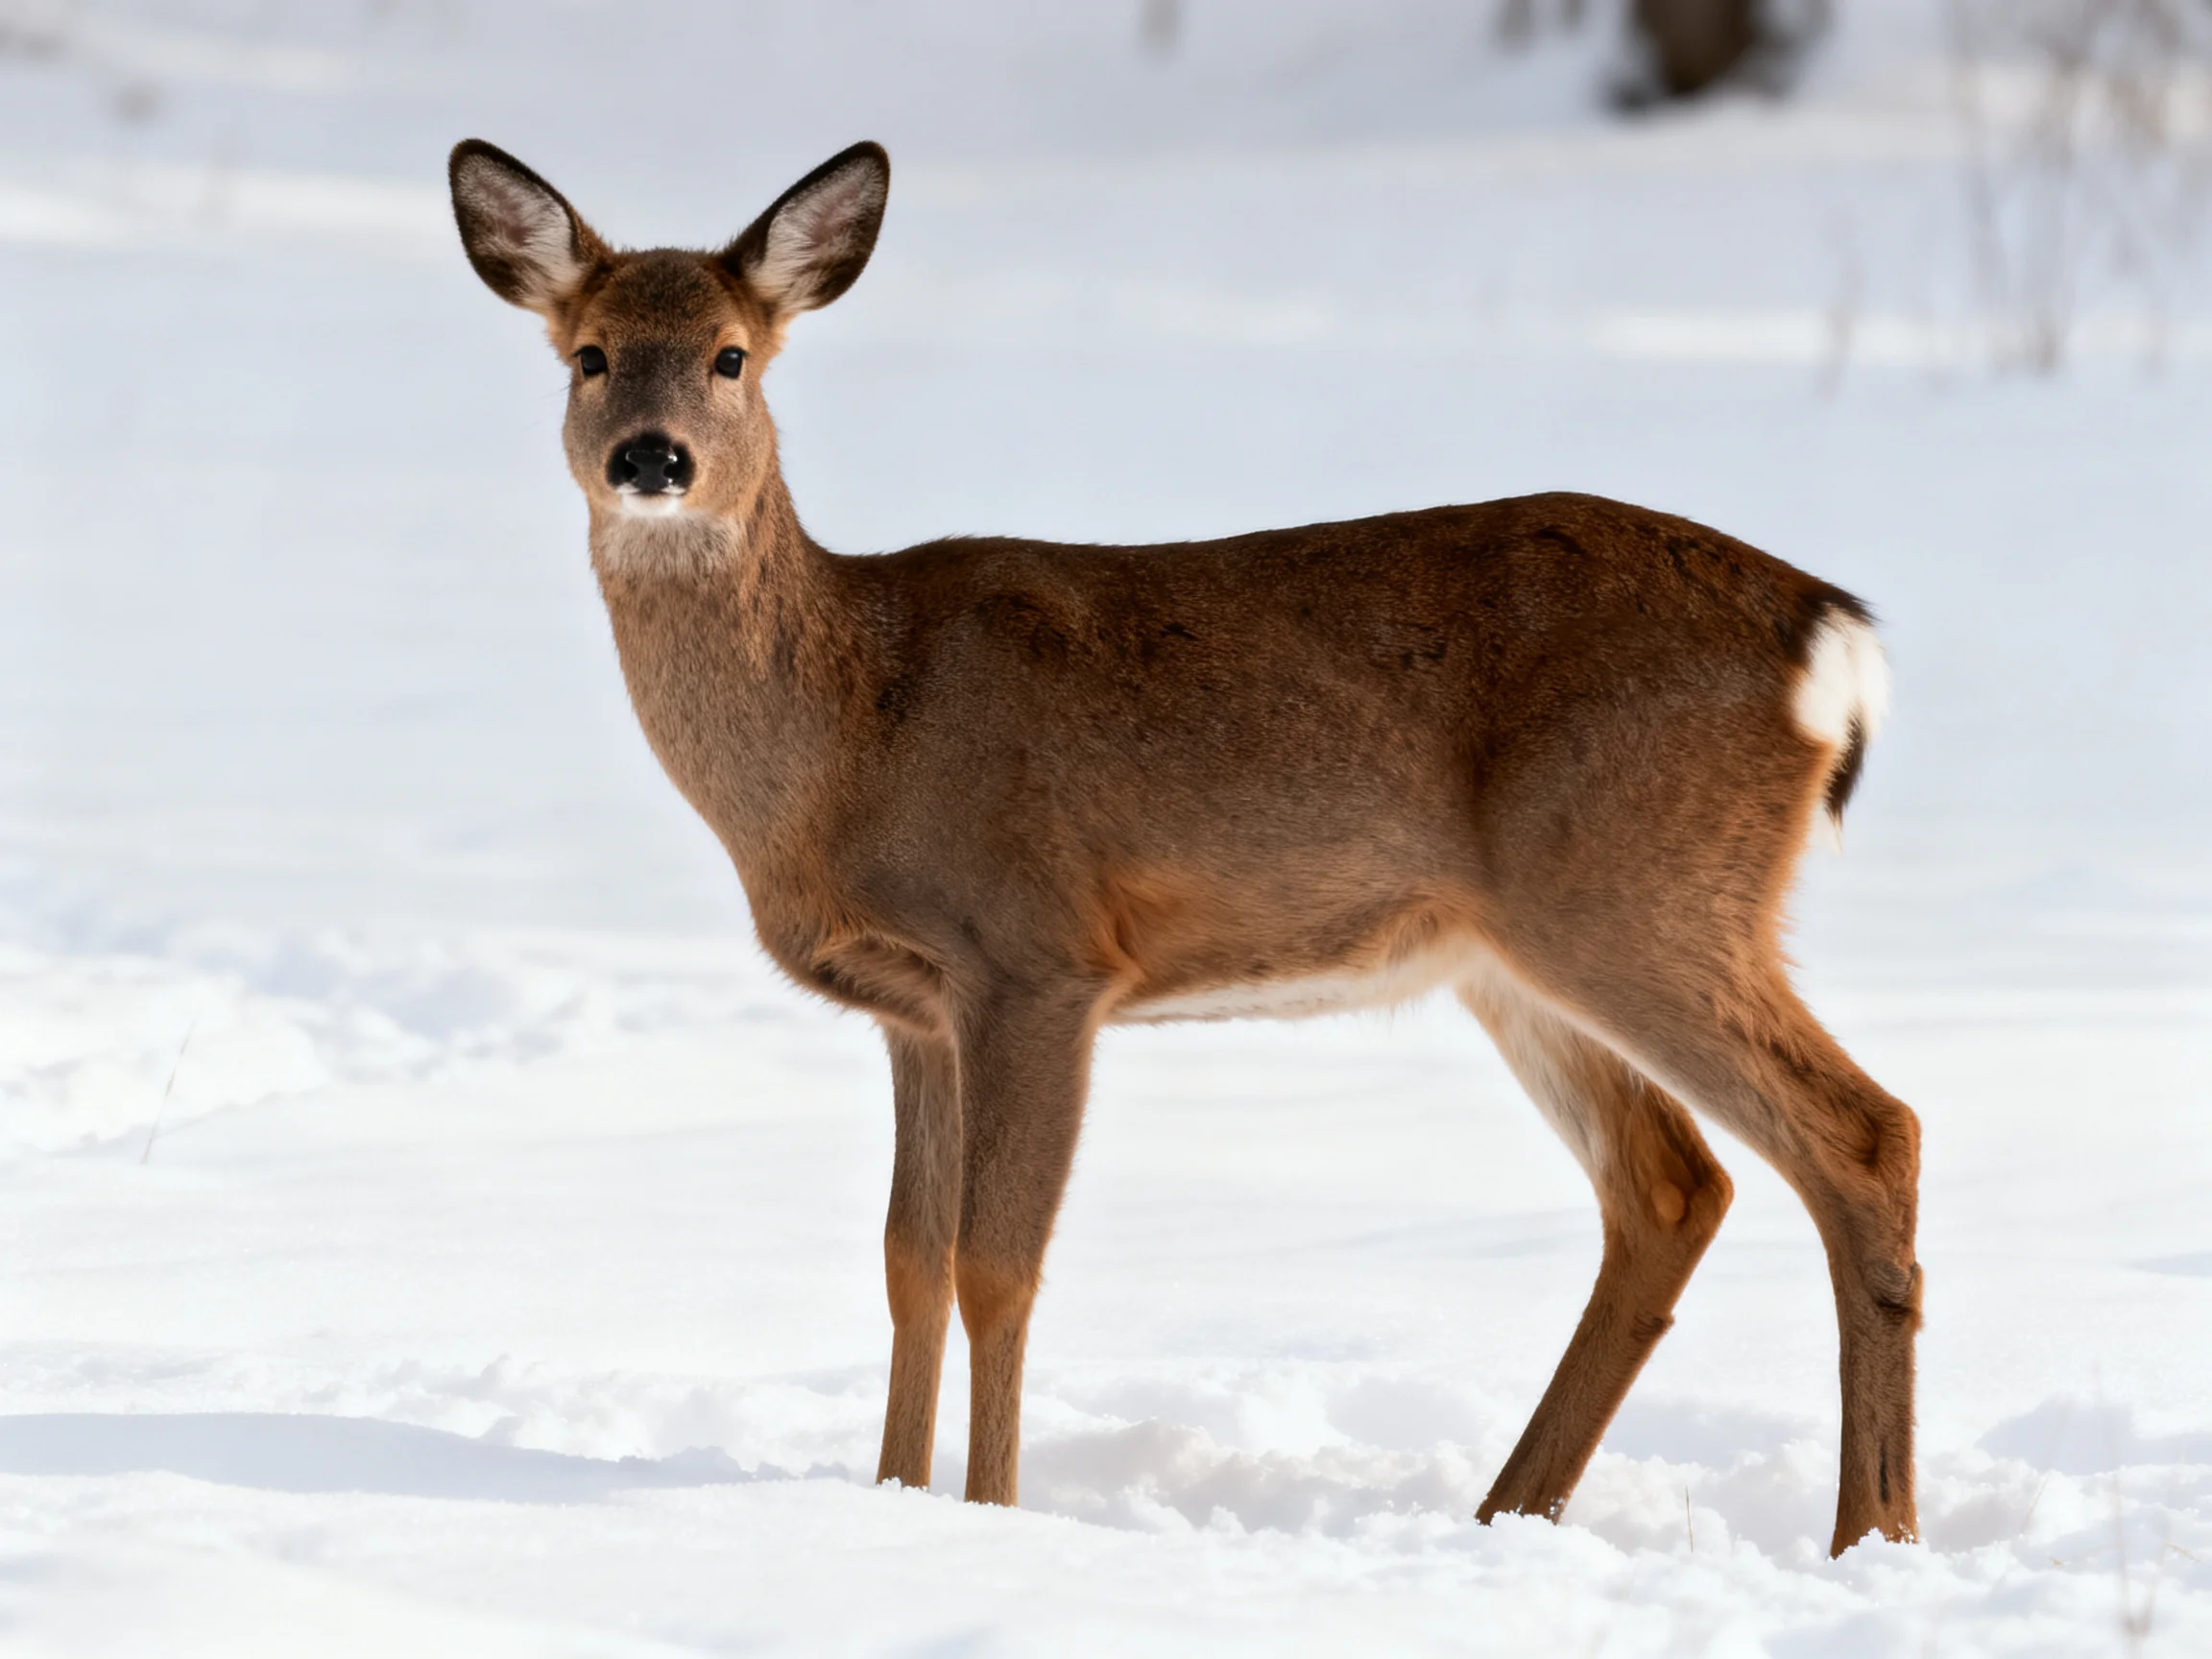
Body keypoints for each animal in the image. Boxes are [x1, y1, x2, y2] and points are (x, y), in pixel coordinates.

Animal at [448, 137, 1922, 1557]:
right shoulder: (915, 1010)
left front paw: (989, 1518)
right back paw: (1509, 1517)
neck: (855, 733)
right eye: (587, 355)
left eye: (731, 356)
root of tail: (1829, 634)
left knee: (1865, 1135)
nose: (652, 458)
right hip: (1513, 952)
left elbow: (995, 1264)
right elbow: (908, 1265)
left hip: (1640, 889)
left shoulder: (1039, 955)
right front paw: (889, 1504)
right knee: (1672, 1187)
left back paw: (1872, 1535)